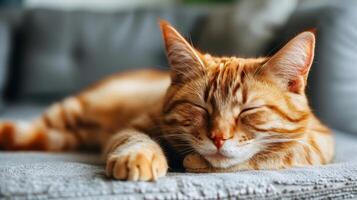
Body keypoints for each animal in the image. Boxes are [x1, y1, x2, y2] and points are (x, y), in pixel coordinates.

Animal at [0, 19, 334, 181]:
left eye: (248, 111)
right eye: (200, 108)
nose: (218, 138)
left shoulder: (319, 141)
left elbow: (274, 155)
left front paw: (197, 161)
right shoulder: (133, 127)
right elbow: (135, 139)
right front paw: (139, 158)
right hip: (68, 112)